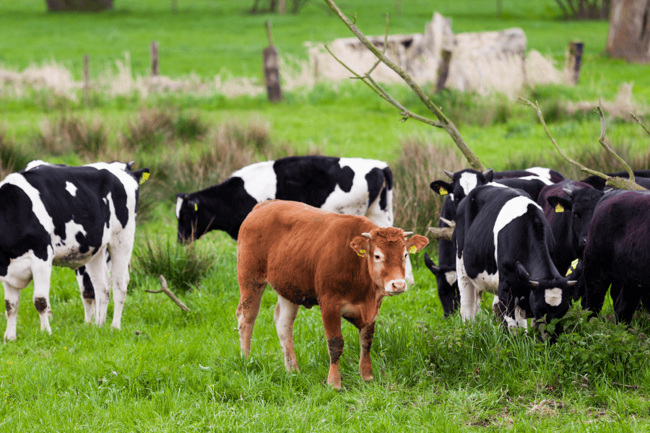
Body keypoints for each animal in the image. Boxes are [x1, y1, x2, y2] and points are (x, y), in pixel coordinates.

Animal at [2, 160, 148, 341]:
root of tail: (122, 166)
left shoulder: (41, 258)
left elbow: (40, 301)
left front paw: (46, 333)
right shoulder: (7, 269)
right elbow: (11, 305)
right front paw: (9, 337)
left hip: (122, 238)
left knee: (120, 283)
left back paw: (114, 327)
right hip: (96, 249)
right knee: (102, 285)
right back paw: (99, 326)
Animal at [236, 200, 429, 389]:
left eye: (405, 255)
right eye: (377, 256)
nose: (398, 284)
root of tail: (264, 205)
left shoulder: (373, 307)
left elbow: (366, 340)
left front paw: (367, 377)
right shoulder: (329, 305)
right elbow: (336, 343)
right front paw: (334, 382)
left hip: (289, 287)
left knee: (283, 323)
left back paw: (293, 370)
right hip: (250, 277)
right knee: (247, 318)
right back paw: (246, 360)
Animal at [454, 186, 576, 329]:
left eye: (565, 310)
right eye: (539, 307)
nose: (553, 335)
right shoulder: (506, 286)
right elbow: (510, 324)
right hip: (462, 269)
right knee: (467, 307)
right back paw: (468, 328)